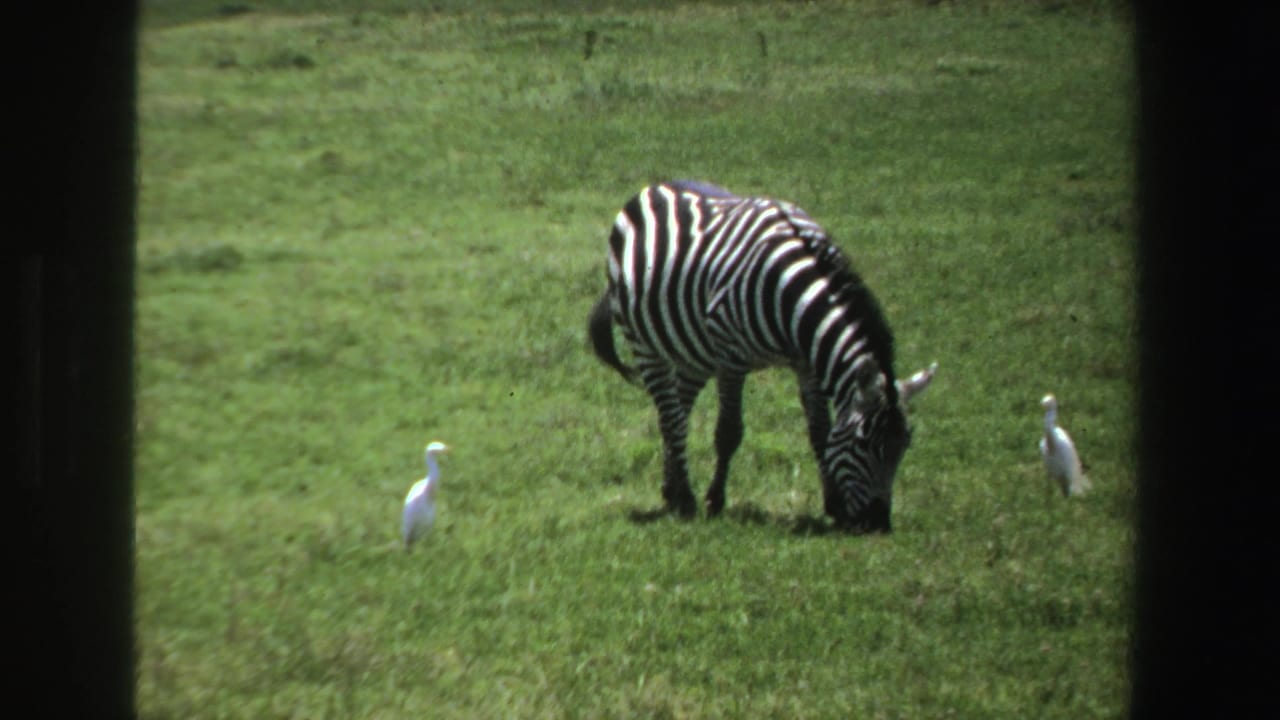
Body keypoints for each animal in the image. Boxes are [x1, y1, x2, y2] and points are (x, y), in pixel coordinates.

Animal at [588, 180, 935, 533]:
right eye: (864, 443)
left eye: (905, 444)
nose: (878, 525)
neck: (793, 299)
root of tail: (657, 185)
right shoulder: (731, 356)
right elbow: (728, 432)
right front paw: (715, 501)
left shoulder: (806, 364)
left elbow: (820, 432)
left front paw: (833, 503)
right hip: (644, 341)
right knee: (669, 415)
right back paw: (685, 499)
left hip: (694, 352)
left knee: (679, 410)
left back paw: (671, 490)